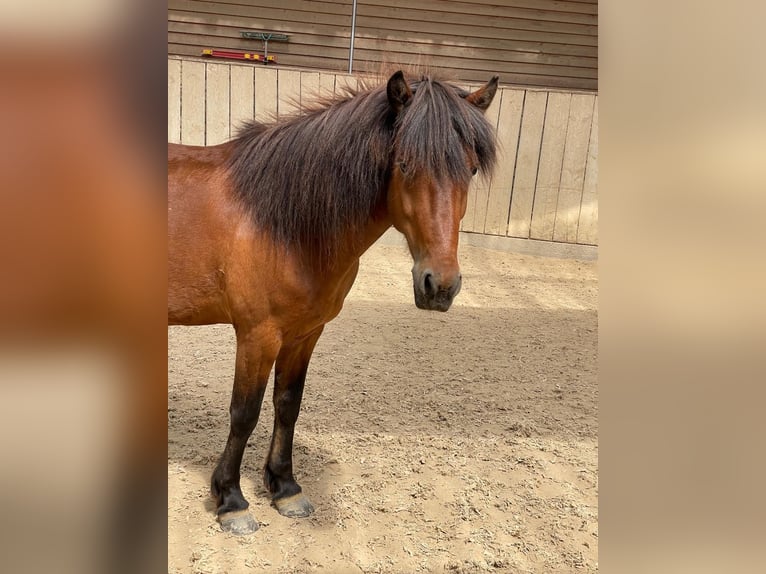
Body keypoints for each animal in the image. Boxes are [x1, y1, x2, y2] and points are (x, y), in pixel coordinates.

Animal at [168, 70, 498, 534]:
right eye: (404, 165)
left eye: (470, 169)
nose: (440, 286)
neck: (283, 222)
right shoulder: (257, 336)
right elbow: (244, 413)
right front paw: (231, 499)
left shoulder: (305, 333)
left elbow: (288, 405)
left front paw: (285, 488)